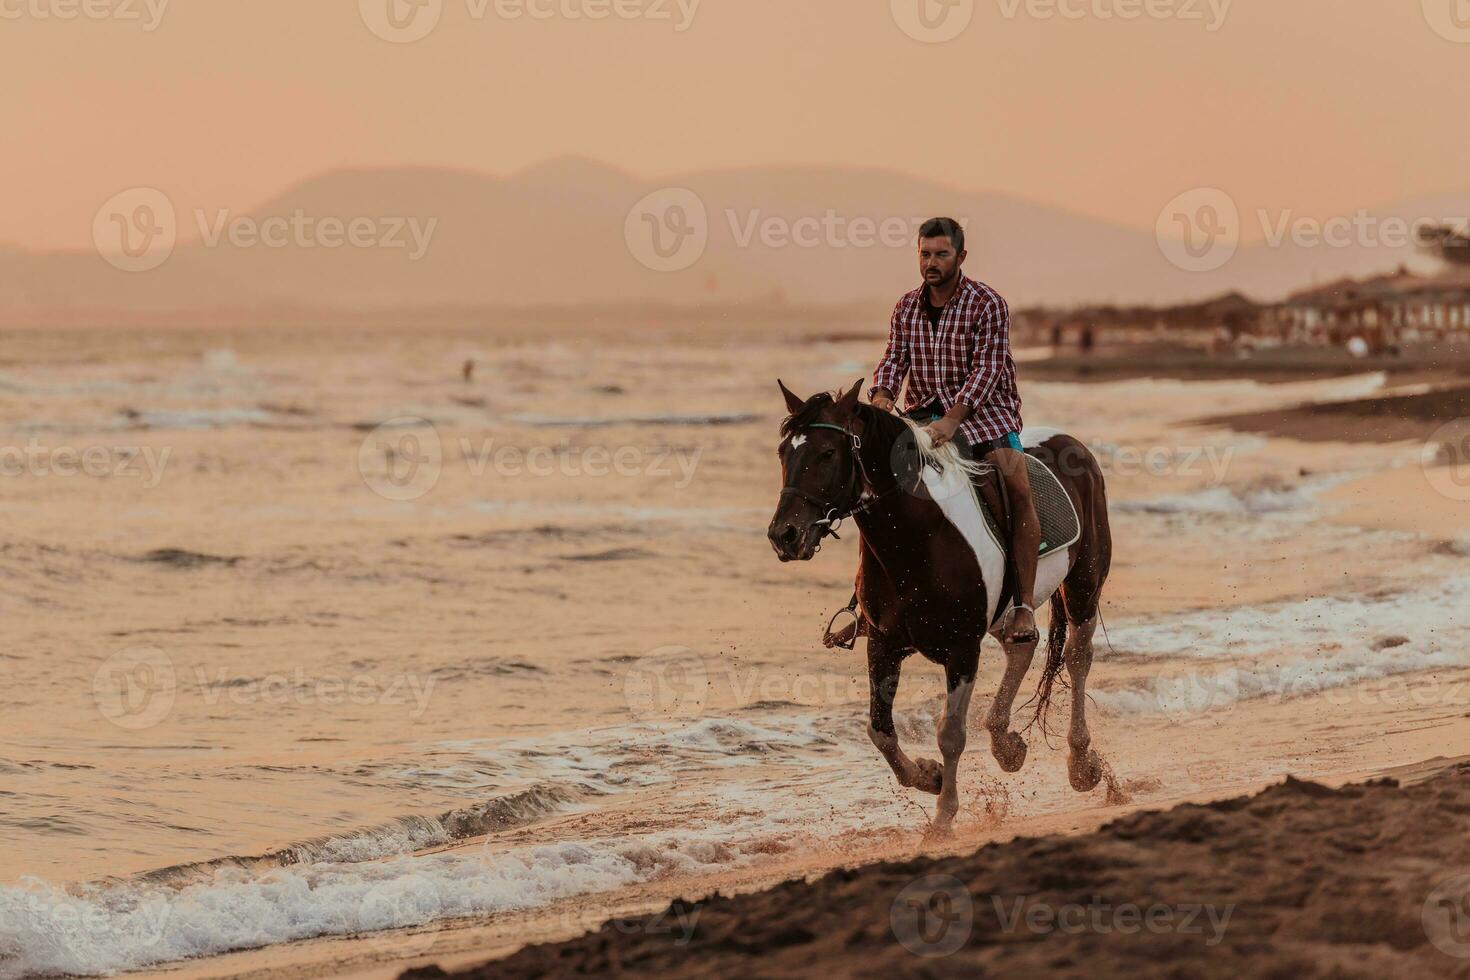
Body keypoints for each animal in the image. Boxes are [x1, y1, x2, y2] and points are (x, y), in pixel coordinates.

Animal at [770, 379, 1111, 834]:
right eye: (783, 452)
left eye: (828, 453)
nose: (784, 535)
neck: (919, 537)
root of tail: (1073, 444)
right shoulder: (882, 644)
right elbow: (879, 730)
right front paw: (928, 777)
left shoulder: (961, 648)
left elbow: (950, 734)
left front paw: (943, 818)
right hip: (1006, 614)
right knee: (1022, 646)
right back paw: (1006, 745)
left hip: (1083, 584)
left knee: (1076, 657)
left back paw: (1082, 764)